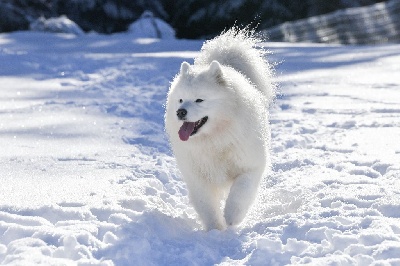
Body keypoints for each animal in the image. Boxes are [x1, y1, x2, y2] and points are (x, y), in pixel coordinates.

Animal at [164, 27, 274, 231]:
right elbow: (206, 205)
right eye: (181, 99)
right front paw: (215, 229)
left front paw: (231, 217)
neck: (215, 139)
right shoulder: (198, 178)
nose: (180, 112)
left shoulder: (250, 166)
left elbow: (240, 192)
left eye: (199, 100)